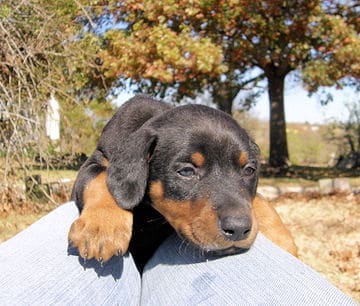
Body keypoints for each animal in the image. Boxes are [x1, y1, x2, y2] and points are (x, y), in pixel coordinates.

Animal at [69, 95, 296, 270]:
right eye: (186, 171)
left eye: (249, 170)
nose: (239, 229)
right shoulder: (96, 160)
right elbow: (99, 179)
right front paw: (101, 228)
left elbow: (259, 198)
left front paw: (283, 238)